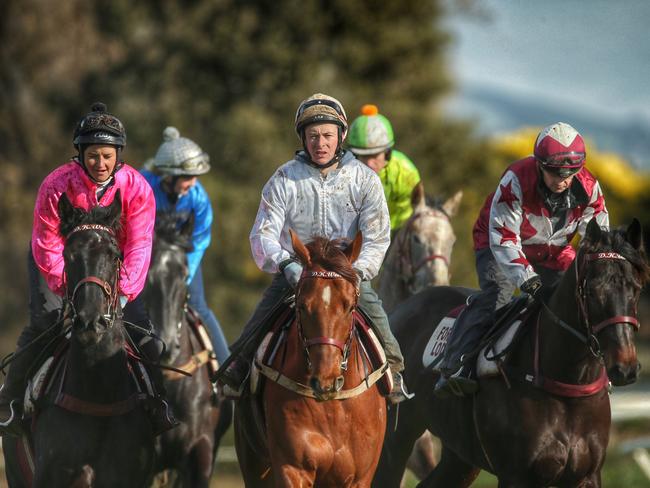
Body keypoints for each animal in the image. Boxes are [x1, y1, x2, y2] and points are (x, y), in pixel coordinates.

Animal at [233, 232, 384, 488]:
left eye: (350, 306)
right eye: (302, 306)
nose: (325, 380)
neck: (332, 409)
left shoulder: (360, 477)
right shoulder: (293, 468)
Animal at [372, 219, 644, 486]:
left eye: (636, 289)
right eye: (592, 291)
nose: (625, 367)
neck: (567, 385)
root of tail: (399, 309)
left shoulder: (588, 475)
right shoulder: (516, 475)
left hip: (460, 454)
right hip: (396, 440)